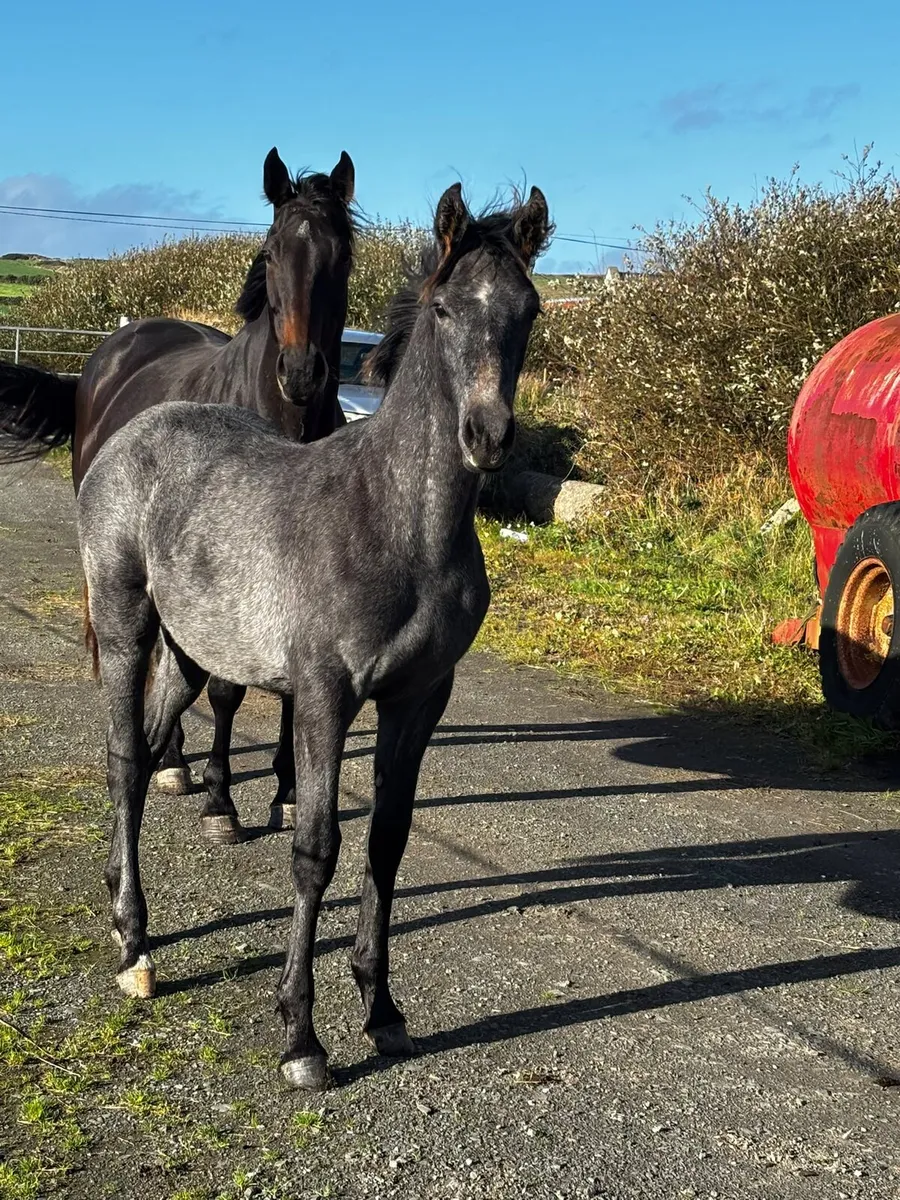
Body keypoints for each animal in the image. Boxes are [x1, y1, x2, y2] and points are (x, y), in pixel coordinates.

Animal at [0, 147, 356, 845]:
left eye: (344, 253)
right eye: (271, 252)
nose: (302, 374)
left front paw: (288, 792)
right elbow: (224, 691)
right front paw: (221, 801)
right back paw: (171, 764)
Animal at [77, 180, 551, 1088]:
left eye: (531, 308)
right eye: (444, 308)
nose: (489, 436)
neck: (398, 523)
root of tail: (131, 431)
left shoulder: (419, 698)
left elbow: (387, 842)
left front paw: (382, 1008)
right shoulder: (328, 695)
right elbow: (316, 848)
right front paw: (302, 1035)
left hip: (190, 654)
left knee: (151, 753)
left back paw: (124, 906)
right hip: (125, 626)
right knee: (122, 761)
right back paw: (136, 947)